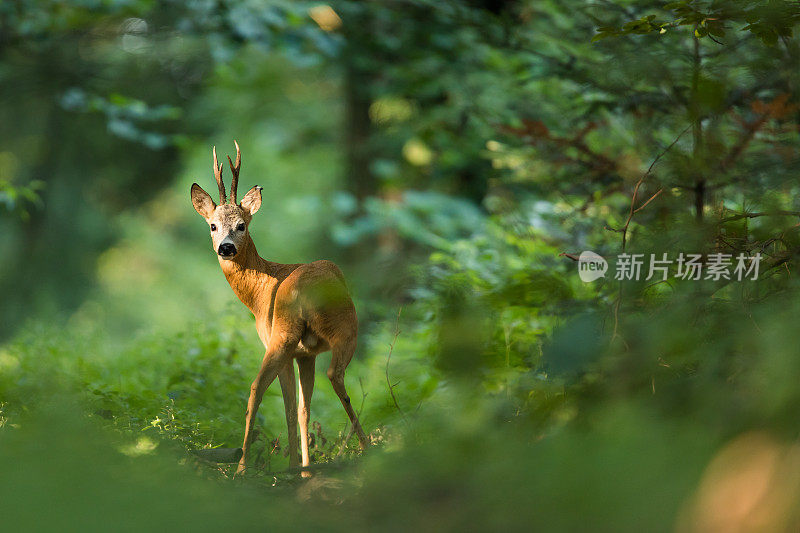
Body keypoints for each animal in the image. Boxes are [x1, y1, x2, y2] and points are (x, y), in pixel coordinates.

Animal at [191, 139, 368, 472]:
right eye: (212, 226)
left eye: (241, 225)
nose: (226, 248)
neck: (260, 293)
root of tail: (304, 293)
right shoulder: (299, 352)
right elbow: (299, 408)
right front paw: (302, 467)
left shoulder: (293, 349)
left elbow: (294, 408)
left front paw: (298, 466)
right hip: (324, 331)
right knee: (326, 379)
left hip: (301, 333)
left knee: (267, 390)